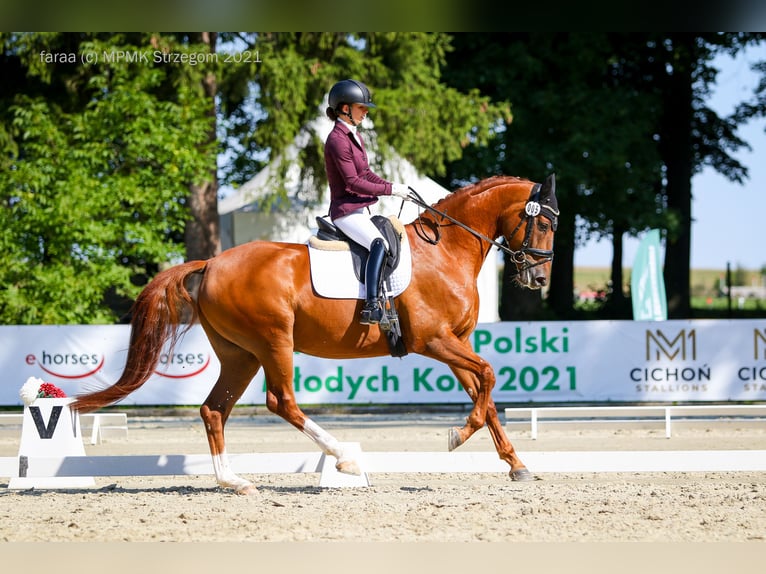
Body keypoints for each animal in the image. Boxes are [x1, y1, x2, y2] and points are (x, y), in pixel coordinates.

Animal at [75, 176, 560, 496]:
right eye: (543, 224)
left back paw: (233, 481)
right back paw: (344, 458)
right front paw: (458, 435)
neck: (444, 251)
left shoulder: (456, 342)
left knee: (214, 409)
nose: (538, 278)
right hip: (274, 342)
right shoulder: (435, 341)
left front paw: (517, 465)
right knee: (281, 401)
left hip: (240, 354)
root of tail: (210, 263)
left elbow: (485, 392)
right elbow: (489, 377)